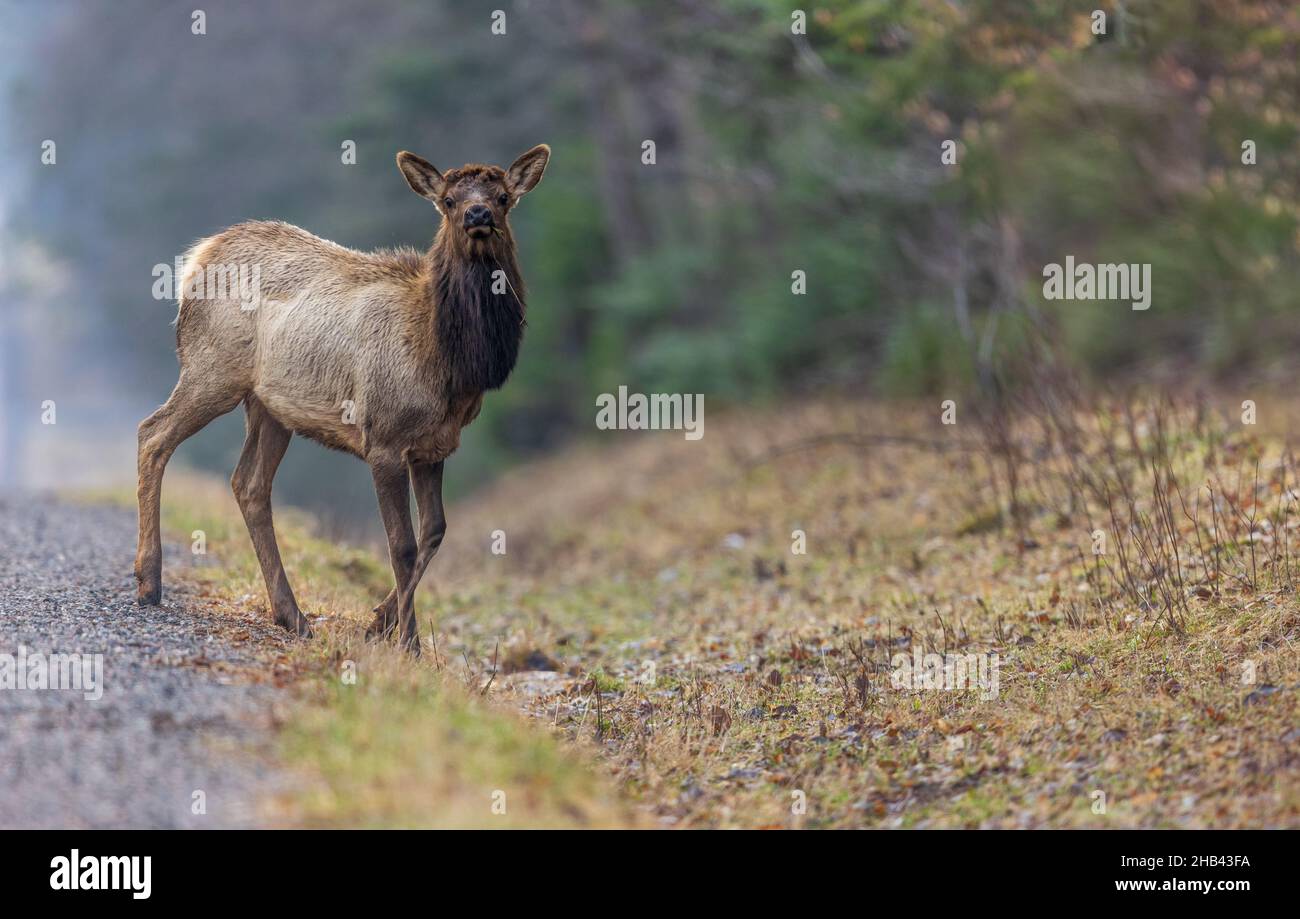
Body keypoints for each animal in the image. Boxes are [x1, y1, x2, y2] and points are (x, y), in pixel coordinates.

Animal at [135, 141, 548, 655]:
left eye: (503, 197)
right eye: (449, 201)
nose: (477, 213)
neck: (450, 363)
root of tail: (196, 258)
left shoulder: (434, 446)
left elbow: (434, 532)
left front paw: (378, 623)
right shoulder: (384, 438)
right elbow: (401, 544)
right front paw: (407, 644)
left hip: (269, 407)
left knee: (248, 483)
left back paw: (291, 615)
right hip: (212, 370)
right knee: (153, 434)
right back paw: (149, 581)